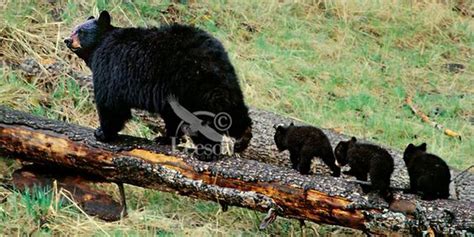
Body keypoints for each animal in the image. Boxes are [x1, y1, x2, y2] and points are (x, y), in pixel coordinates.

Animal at [65, 11, 256, 157]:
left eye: (81, 31)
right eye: (73, 29)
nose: (67, 40)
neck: (100, 44)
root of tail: (215, 56)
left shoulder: (110, 68)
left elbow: (110, 104)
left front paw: (102, 133)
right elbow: (171, 116)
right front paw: (167, 138)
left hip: (193, 84)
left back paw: (206, 152)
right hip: (221, 81)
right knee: (233, 107)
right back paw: (243, 137)